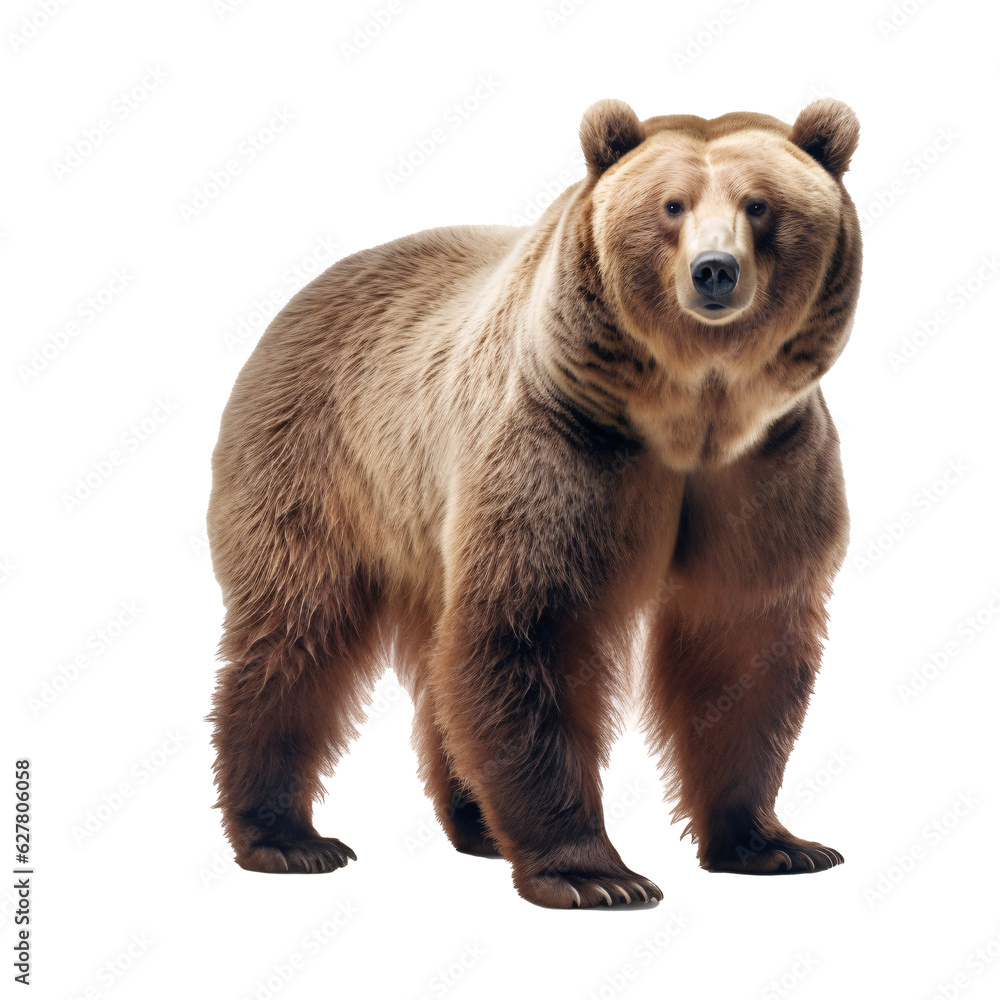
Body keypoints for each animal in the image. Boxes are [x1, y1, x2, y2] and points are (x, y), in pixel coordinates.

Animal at [207, 97, 861, 908]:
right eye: (671, 205)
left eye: (760, 204)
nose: (715, 271)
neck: (690, 416)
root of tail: (299, 296)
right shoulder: (565, 442)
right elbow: (532, 628)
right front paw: (595, 874)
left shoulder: (765, 467)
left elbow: (743, 640)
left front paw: (774, 843)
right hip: (325, 461)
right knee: (298, 628)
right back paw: (289, 838)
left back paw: (478, 825)